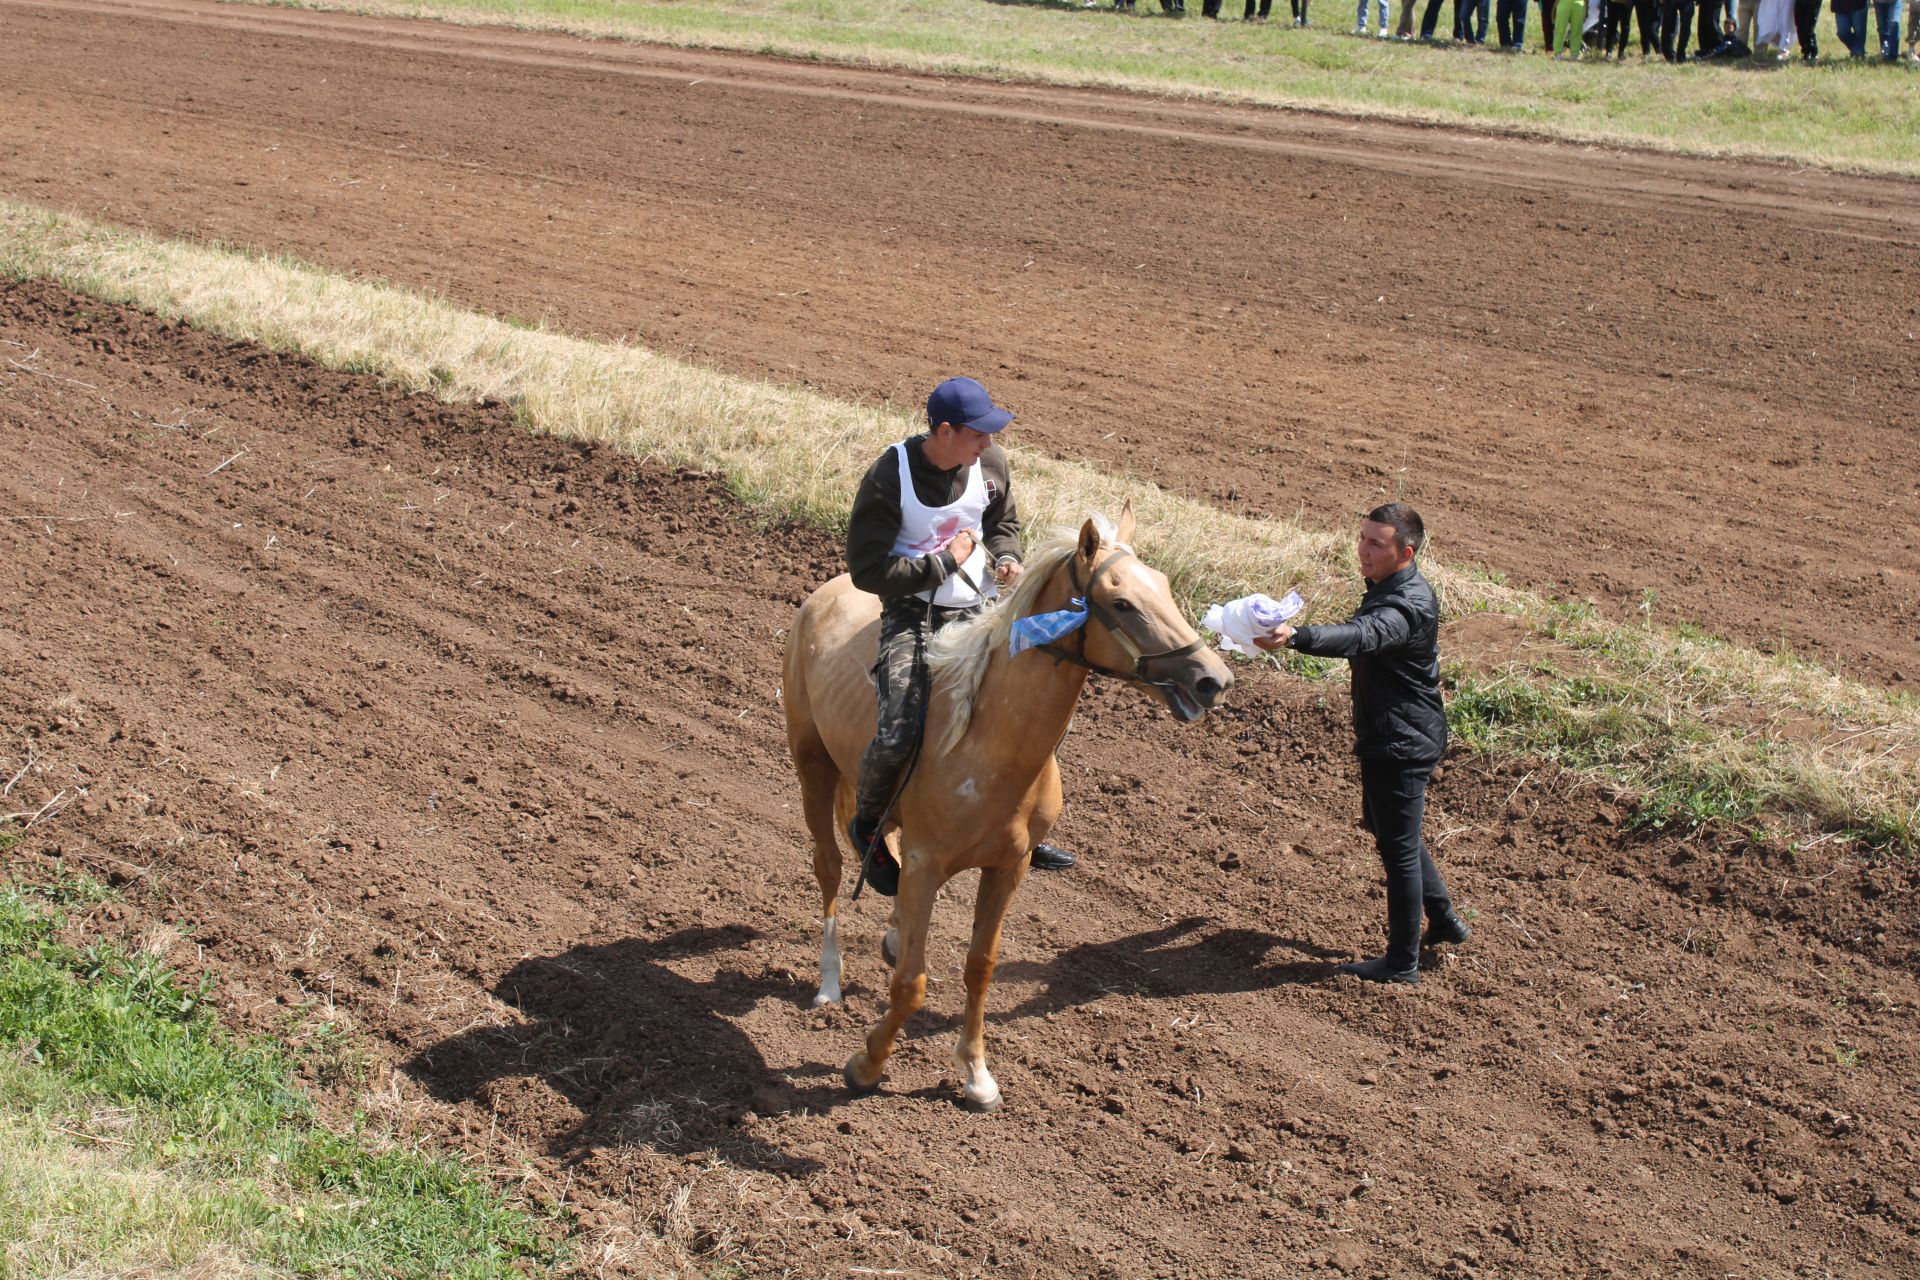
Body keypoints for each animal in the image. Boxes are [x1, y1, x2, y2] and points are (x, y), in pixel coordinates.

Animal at [775, 506, 1228, 1105]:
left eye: (1165, 587)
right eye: (1121, 603)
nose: (1213, 678)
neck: (988, 743)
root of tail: (826, 593)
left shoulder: (1008, 868)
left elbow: (980, 967)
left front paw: (976, 1071)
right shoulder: (926, 865)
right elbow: (912, 983)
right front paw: (867, 1064)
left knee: (877, 845)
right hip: (812, 763)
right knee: (828, 865)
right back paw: (829, 979)